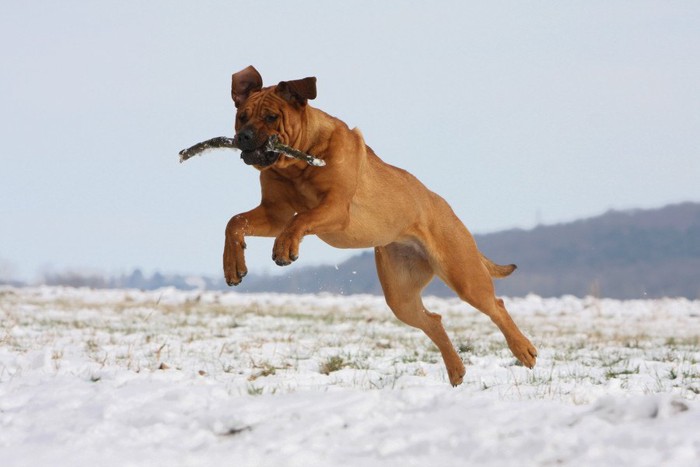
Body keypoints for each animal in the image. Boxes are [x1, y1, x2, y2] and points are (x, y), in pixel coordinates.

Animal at [223, 66, 536, 388]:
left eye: (271, 117)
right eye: (242, 116)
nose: (243, 136)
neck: (297, 164)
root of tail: (445, 207)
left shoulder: (335, 208)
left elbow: (300, 219)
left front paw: (285, 247)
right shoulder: (275, 213)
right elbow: (235, 222)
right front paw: (233, 266)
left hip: (464, 273)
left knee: (496, 305)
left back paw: (523, 350)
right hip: (400, 294)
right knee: (432, 320)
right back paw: (456, 370)